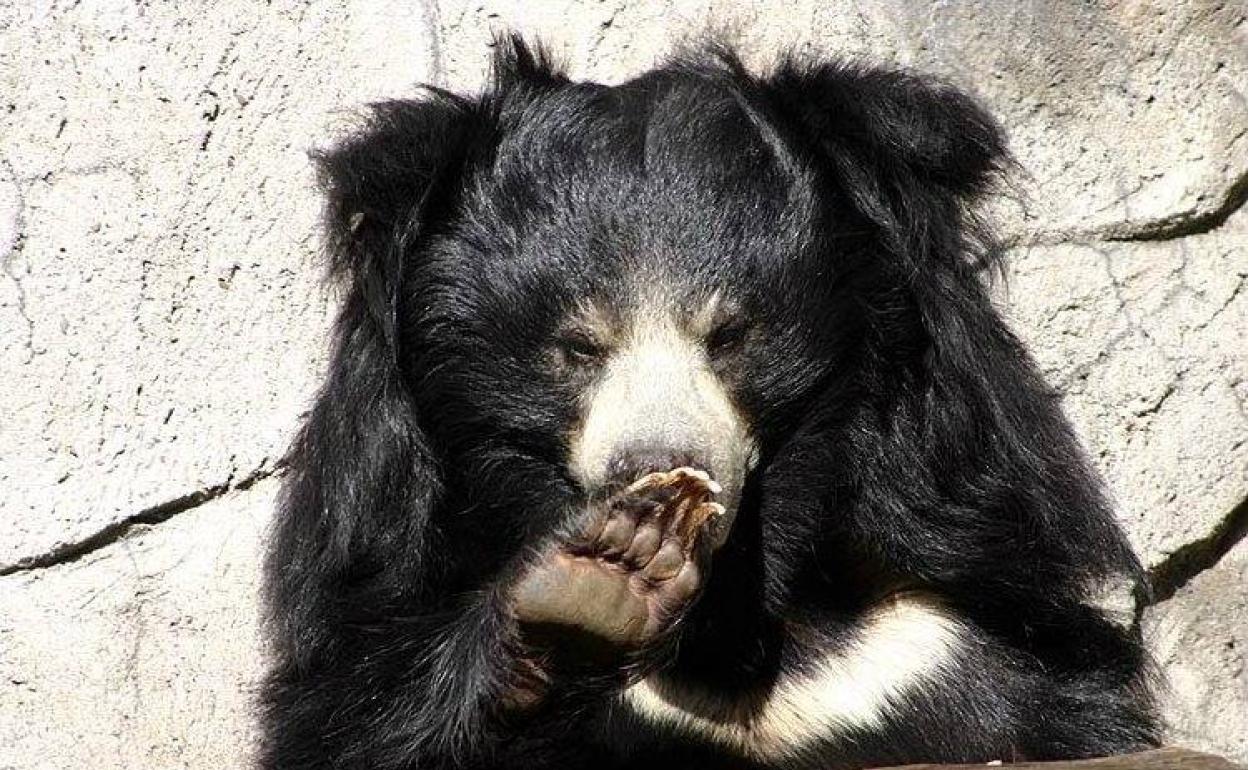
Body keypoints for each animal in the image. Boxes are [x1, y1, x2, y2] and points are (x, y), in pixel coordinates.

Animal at [259, 36, 1158, 770]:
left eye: (728, 334)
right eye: (579, 346)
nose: (657, 474)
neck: (723, 626)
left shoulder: (940, 653)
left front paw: (617, 566)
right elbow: (360, 719)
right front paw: (598, 585)